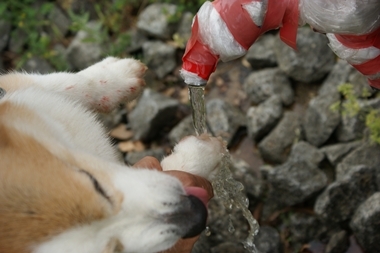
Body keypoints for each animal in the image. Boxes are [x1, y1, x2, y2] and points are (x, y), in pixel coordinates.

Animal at [0, 57, 226, 253]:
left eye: (94, 183)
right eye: (113, 249)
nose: (196, 213)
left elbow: (57, 82)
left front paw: (114, 77)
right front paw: (199, 155)